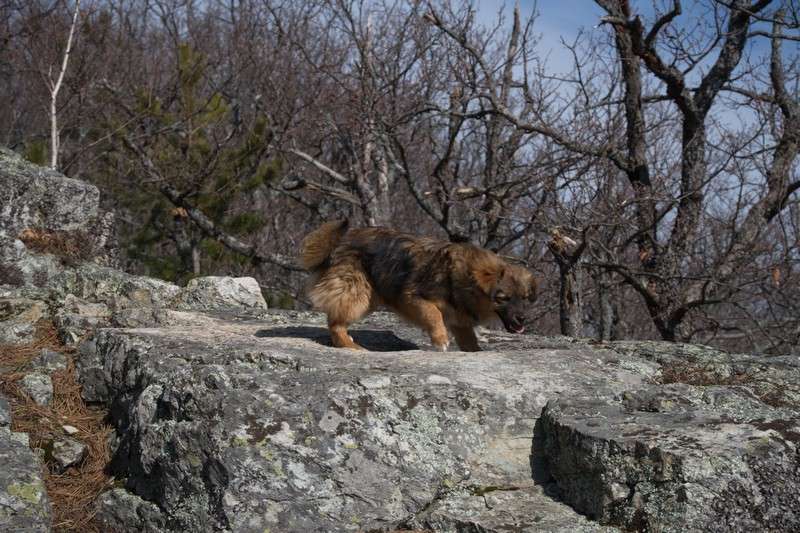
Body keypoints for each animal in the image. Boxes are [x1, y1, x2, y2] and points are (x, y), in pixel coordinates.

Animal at [299, 220, 537, 351]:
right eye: (503, 298)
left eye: (525, 298)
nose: (523, 319)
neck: (463, 278)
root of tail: (340, 240)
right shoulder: (412, 297)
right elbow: (434, 314)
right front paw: (440, 339)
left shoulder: (460, 322)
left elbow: (470, 341)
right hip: (357, 292)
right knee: (335, 323)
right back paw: (349, 345)